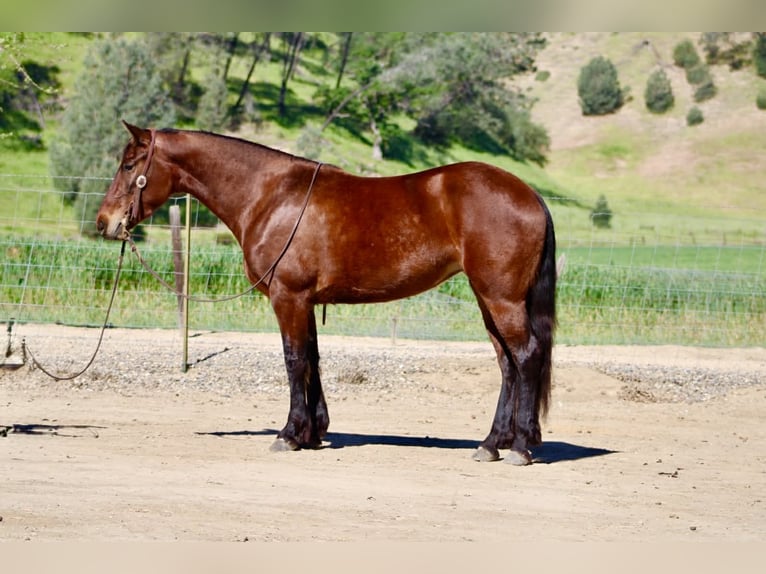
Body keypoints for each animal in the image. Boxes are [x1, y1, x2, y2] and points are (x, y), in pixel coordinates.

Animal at [97, 122, 556, 465]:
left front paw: (289, 433)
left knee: (526, 356)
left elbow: (294, 360)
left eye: (129, 164)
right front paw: (314, 432)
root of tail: (530, 194)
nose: (105, 222)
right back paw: (491, 443)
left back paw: (518, 447)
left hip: (502, 300)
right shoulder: (306, 301)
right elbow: (313, 360)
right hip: (489, 299)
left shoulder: (288, 297)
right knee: (507, 363)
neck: (270, 195)